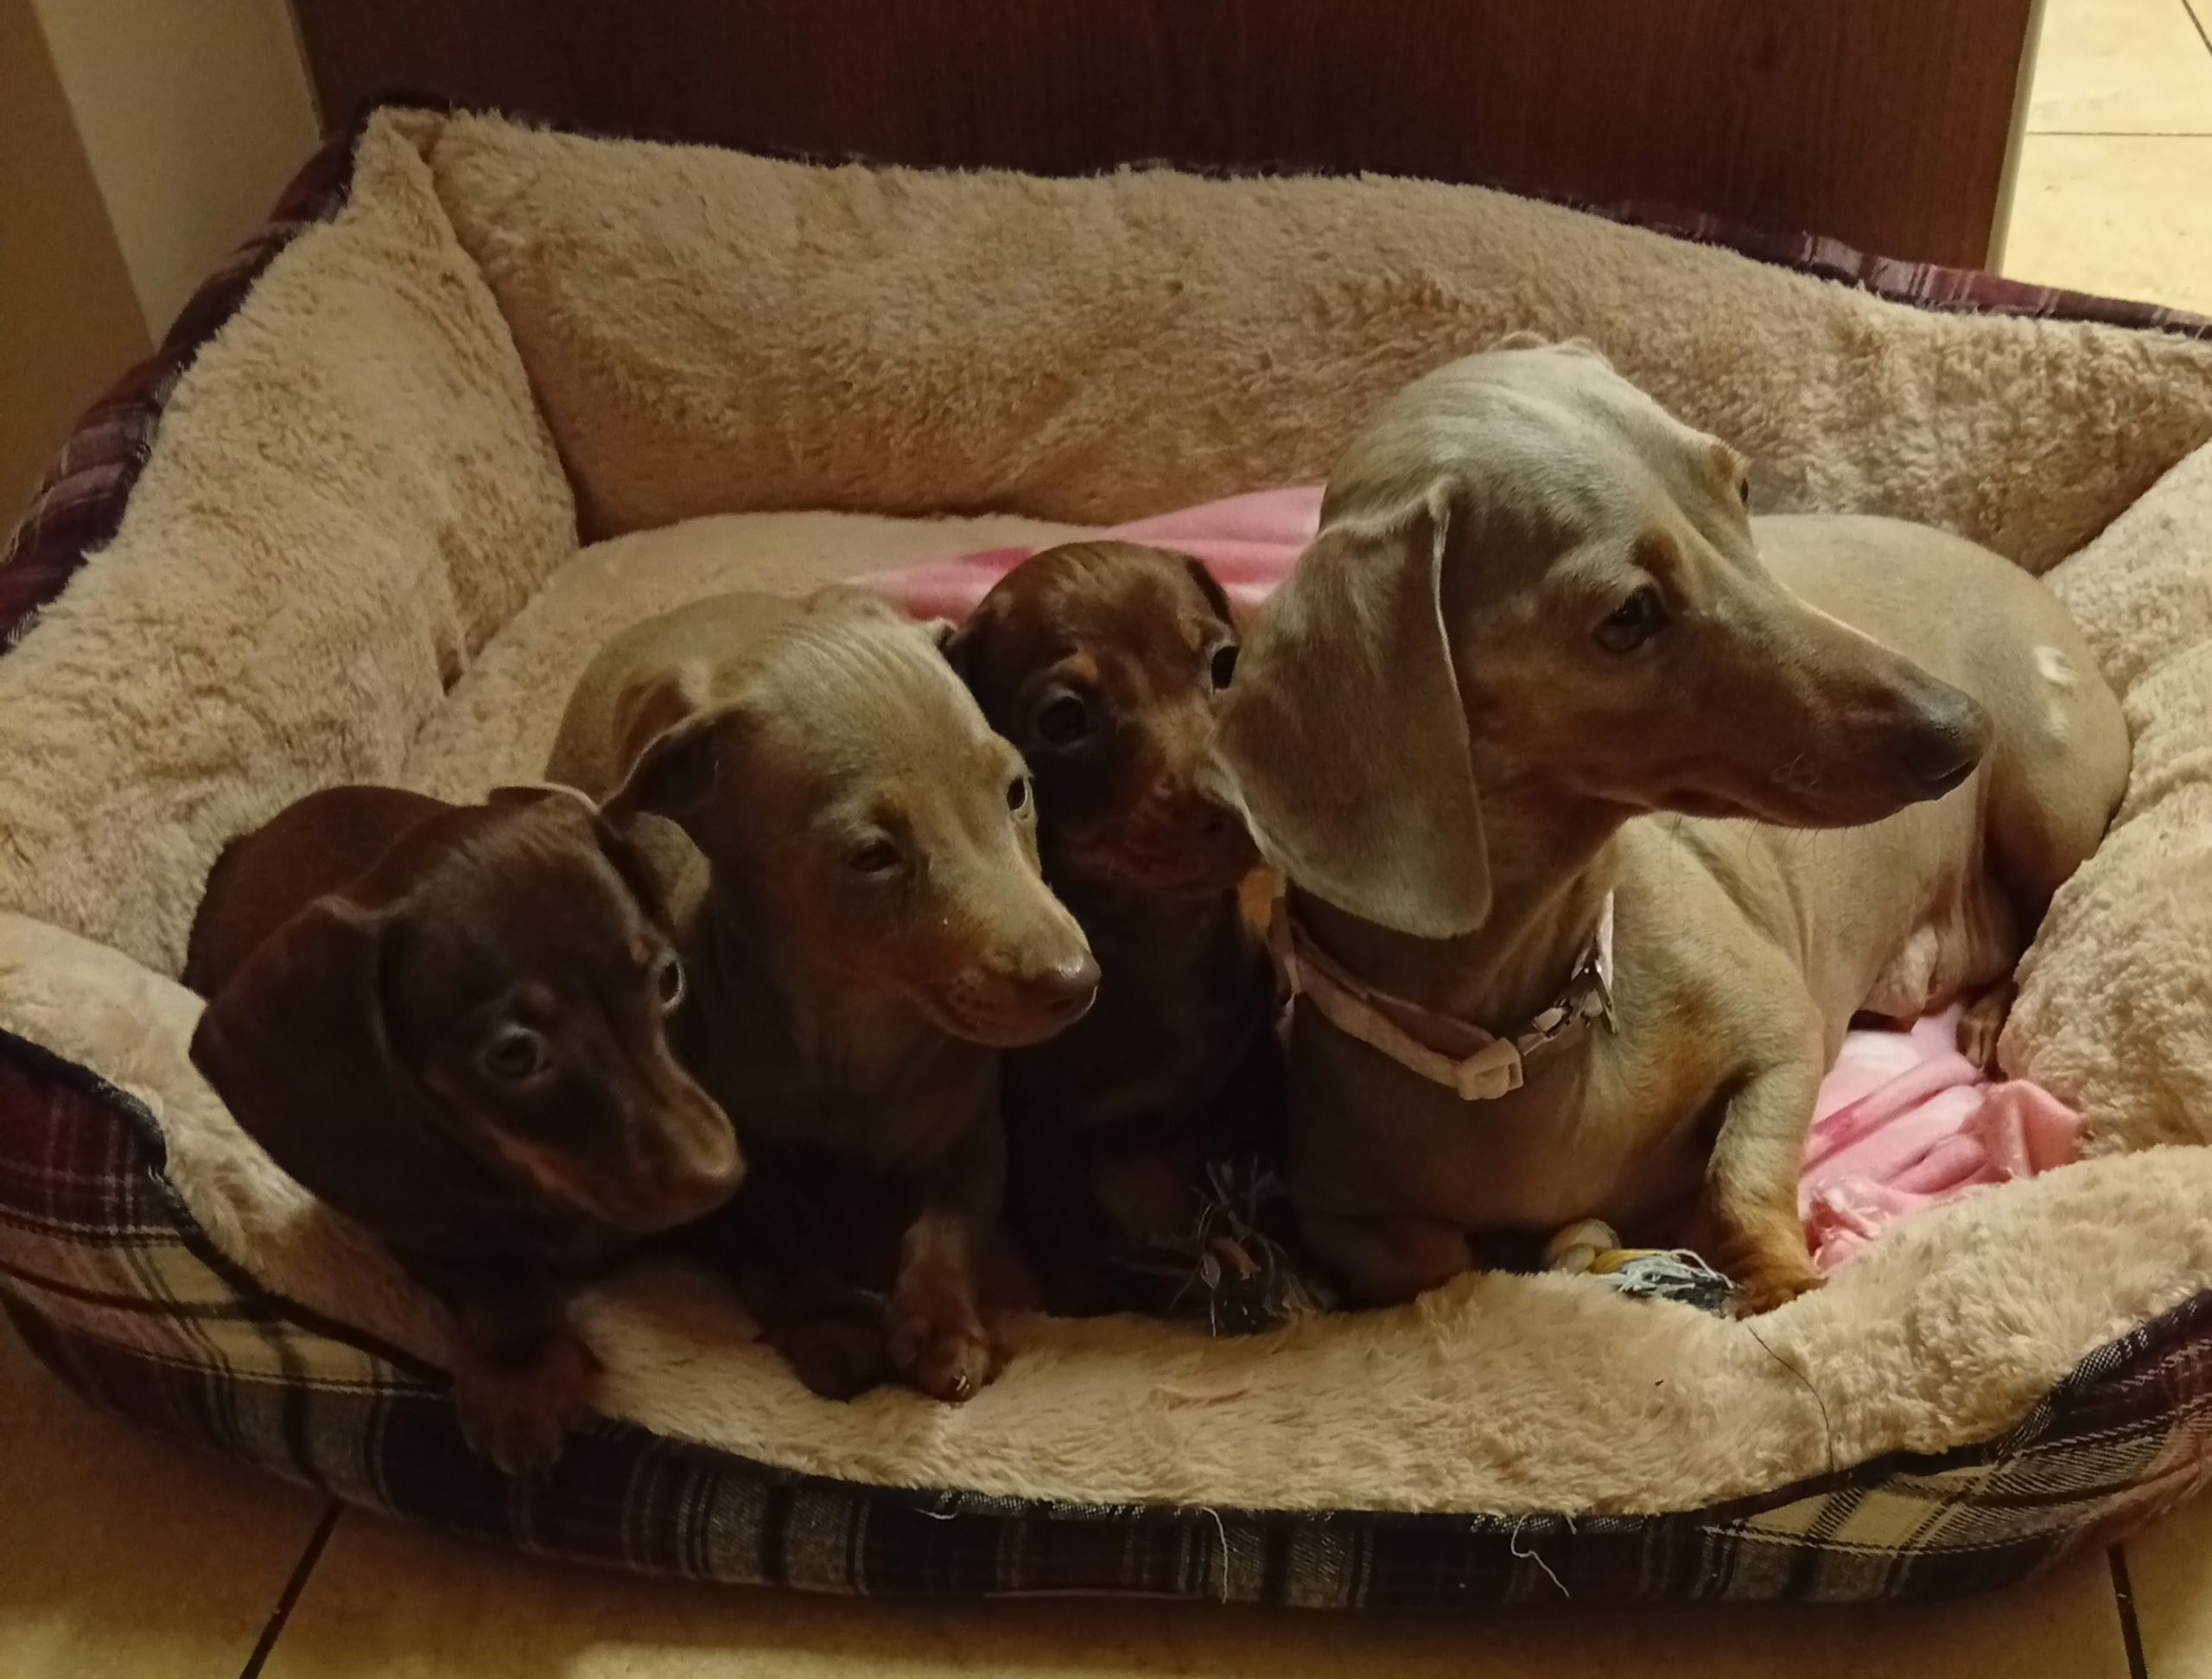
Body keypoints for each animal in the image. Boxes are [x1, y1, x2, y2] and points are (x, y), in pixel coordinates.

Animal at [187, 783, 742, 1470]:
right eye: (514, 1053)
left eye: (668, 978)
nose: (720, 1176)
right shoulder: (414, 1217)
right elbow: (492, 1268)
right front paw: (521, 1377)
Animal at [547, 587, 1099, 1399]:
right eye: (872, 855)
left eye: (1016, 790)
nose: (1076, 983)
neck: (857, 1033)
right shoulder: (735, 1170)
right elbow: (777, 1241)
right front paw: (829, 1323)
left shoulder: (974, 1138)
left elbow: (952, 1223)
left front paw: (943, 1321)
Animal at [947, 542, 1284, 1315]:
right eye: (1064, 720)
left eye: (1225, 665)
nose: (1234, 802)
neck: (1159, 944)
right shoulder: (1042, 1128)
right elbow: (1081, 1257)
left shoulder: (1251, 1060)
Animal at [1211, 341, 2130, 1314]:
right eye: (1628, 616)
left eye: (1739, 488)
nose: (1962, 730)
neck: (1529, 1026)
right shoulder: (1333, 1207)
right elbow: (1430, 1259)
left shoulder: (1784, 1036)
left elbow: (1740, 1176)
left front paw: (1778, 1281)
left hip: (2049, 801)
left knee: (2047, 909)